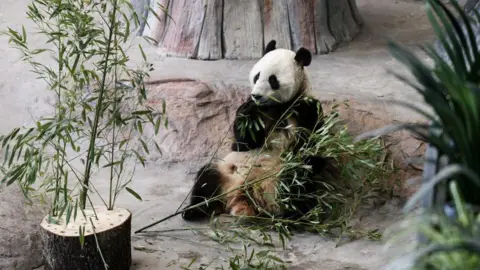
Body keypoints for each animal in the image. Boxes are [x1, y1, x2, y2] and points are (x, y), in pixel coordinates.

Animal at [182, 40, 328, 221]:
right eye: (257, 76)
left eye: (273, 80)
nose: (256, 96)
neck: (276, 107)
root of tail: (243, 199)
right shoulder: (259, 112)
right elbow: (241, 144)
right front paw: (248, 111)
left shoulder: (306, 108)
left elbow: (313, 150)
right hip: (226, 172)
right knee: (206, 178)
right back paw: (195, 209)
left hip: (279, 182)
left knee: (297, 187)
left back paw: (297, 216)